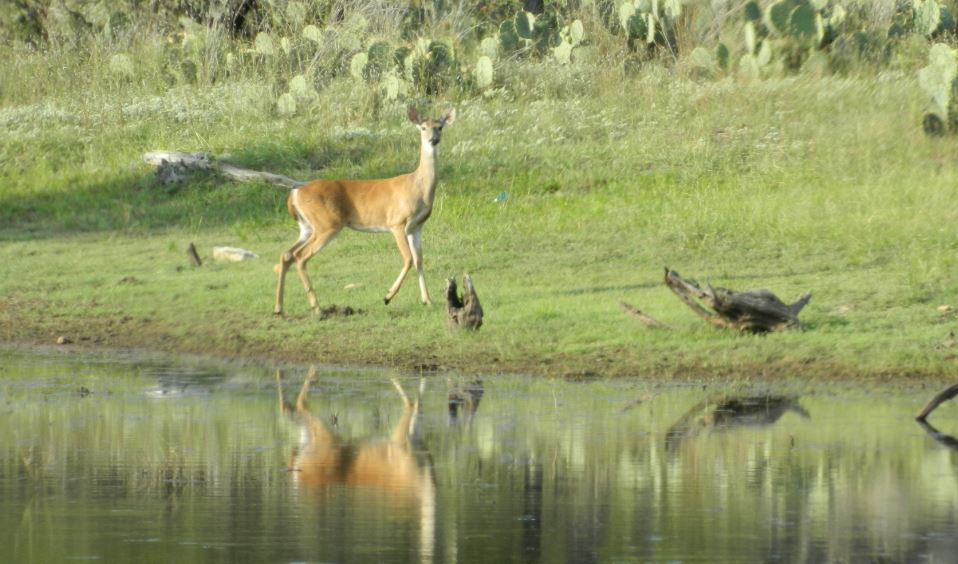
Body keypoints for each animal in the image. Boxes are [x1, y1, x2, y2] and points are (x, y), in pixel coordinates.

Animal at [276, 108, 460, 316]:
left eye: (440, 127)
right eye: (423, 127)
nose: (433, 139)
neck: (418, 187)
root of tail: (295, 193)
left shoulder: (416, 227)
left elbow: (419, 259)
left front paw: (427, 300)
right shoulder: (396, 222)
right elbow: (408, 258)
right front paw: (388, 296)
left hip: (307, 227)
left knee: (287, 254)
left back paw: (279, 308)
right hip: (327, 224)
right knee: (300, 256)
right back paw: (317, 308)